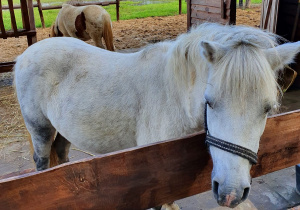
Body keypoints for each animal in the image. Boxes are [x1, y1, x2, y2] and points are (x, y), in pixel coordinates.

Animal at [14, 23, 300, 208]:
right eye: (210, 102)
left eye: (267, 108)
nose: (231, 193)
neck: (173, 95)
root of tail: (25, 55)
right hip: (39, 129)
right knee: (42, 163)